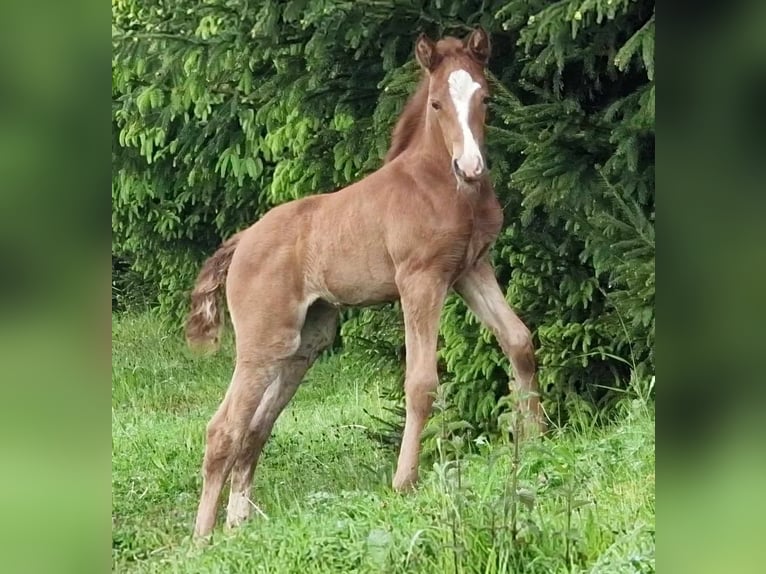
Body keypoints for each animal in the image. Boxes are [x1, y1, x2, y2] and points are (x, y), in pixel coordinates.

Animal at [186, 27, 544, 540]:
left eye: (485, 97)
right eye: (436, 103)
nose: (471, 167)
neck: (441, 186)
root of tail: (241, 241)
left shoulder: (471, 270)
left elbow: (518, 341)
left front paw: (537, 437)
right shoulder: (420, 280)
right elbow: (421, 381)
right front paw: (405, 480)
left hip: (304, 342)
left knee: (255, 428)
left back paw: (237, 525)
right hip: (263, 341)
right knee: (223, 429)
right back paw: (202, 540)